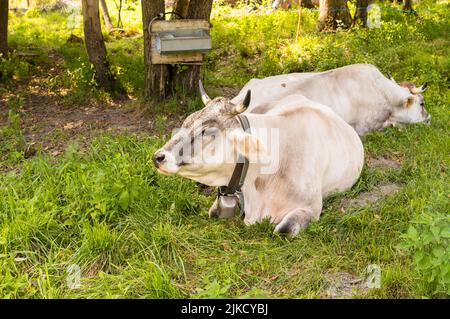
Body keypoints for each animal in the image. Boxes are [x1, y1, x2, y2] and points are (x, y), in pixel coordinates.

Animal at [153, 82, 364, 238]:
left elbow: (283, 230)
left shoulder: (311, 209)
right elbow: (213, 212)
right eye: (186, 122)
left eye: (205, 131)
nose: (158, 157)